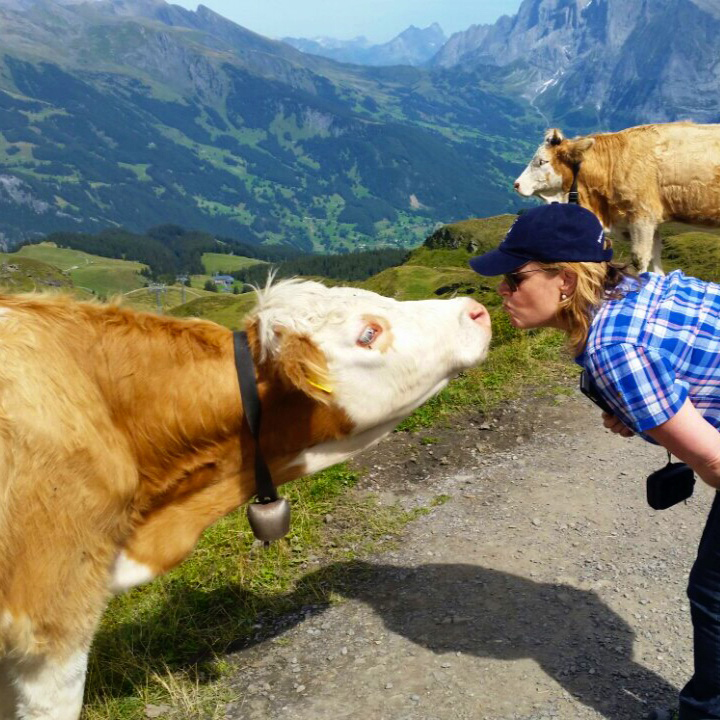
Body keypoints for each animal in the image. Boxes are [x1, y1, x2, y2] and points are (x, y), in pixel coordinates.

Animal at [516, 121, 720, 272]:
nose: (517, 184)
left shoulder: (642, 216)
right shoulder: (651, 223)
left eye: (541, 161)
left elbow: (640, 260)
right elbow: (655, 260)